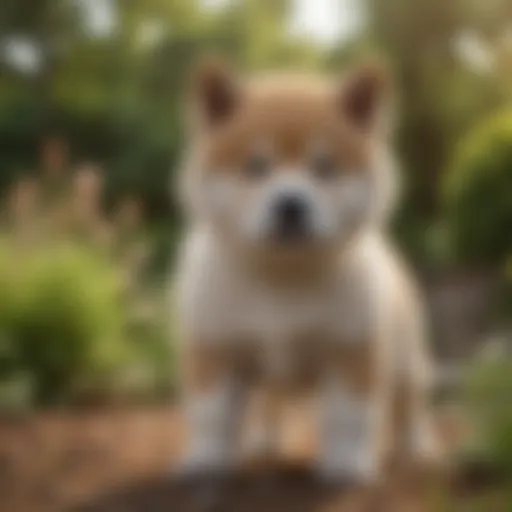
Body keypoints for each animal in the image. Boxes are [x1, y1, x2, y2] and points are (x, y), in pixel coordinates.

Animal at [173, 57, 440, 484]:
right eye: (257, 166)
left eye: (324, 167)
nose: (290, 205)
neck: (283, 276)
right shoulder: (216, 348)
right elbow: (211, 414)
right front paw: (207, 460)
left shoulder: (351, 350)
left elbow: (349, 417)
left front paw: (346, 465)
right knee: (270, 402)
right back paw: (263, 443)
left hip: (407, 359)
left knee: (409, 404)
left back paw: (417, 447)